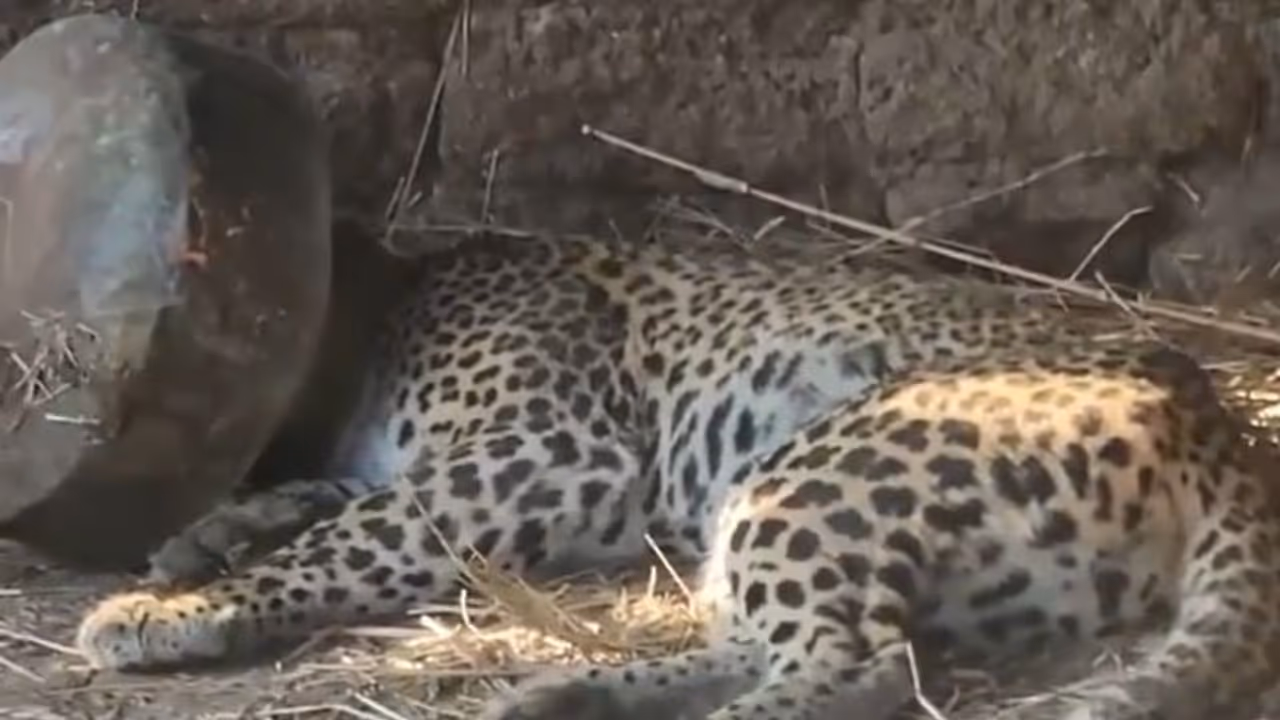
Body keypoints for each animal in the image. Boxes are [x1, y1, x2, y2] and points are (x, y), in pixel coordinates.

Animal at [72, 231, 1280, 720]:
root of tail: (1213, 415)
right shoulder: (442, 467)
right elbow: (340, 501)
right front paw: (204, 539)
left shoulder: (548, 457)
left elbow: (353, 535)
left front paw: (171, 610)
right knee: (776, 639)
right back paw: (561, 692)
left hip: (819, 468)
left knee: (860, 665)